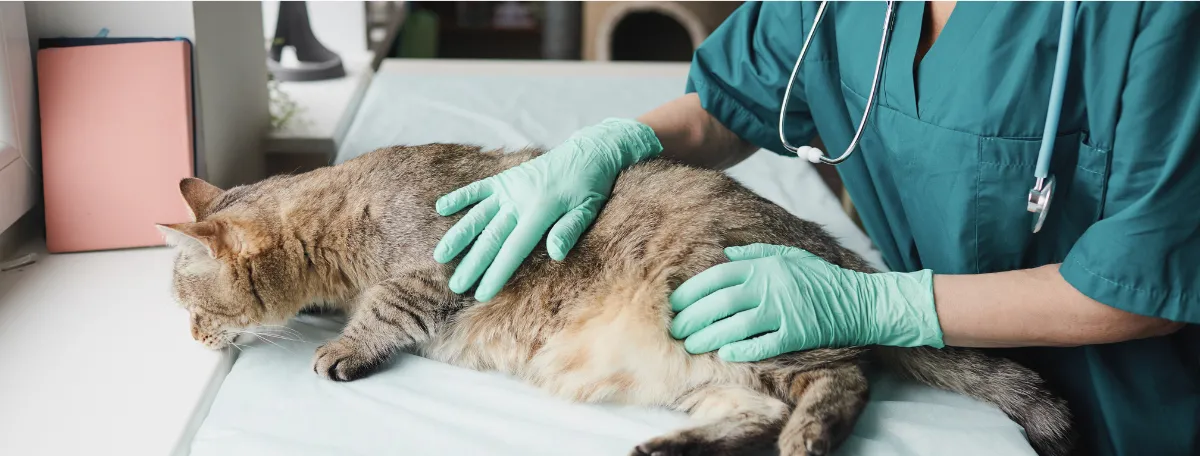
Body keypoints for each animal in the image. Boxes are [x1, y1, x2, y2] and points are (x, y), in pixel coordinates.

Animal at [157, 144, 1070, 456]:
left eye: (194, 311)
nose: (193, 342)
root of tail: (844, 263)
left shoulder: (434, 273)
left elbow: (382, 313)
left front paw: (341, 346)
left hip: (733, 311)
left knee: (842, 380)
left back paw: (809, 438)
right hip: (705, 366)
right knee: (755, 412)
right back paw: (673, 447)